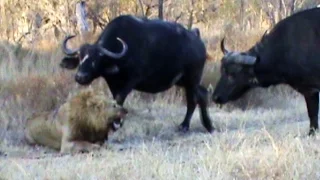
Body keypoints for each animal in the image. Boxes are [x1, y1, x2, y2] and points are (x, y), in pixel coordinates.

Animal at [60, 15, 215, 133]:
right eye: (80, 57)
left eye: (97, 59)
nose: (81, 76)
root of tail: (197, 39)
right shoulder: (113, 83)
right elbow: (115, 100)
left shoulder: (132, 80)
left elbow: (119, 99)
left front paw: (117, 123)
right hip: (184, 81)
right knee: (202, 94)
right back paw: (208, 125)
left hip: (192, 78)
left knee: (193, 100)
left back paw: (185, 126)